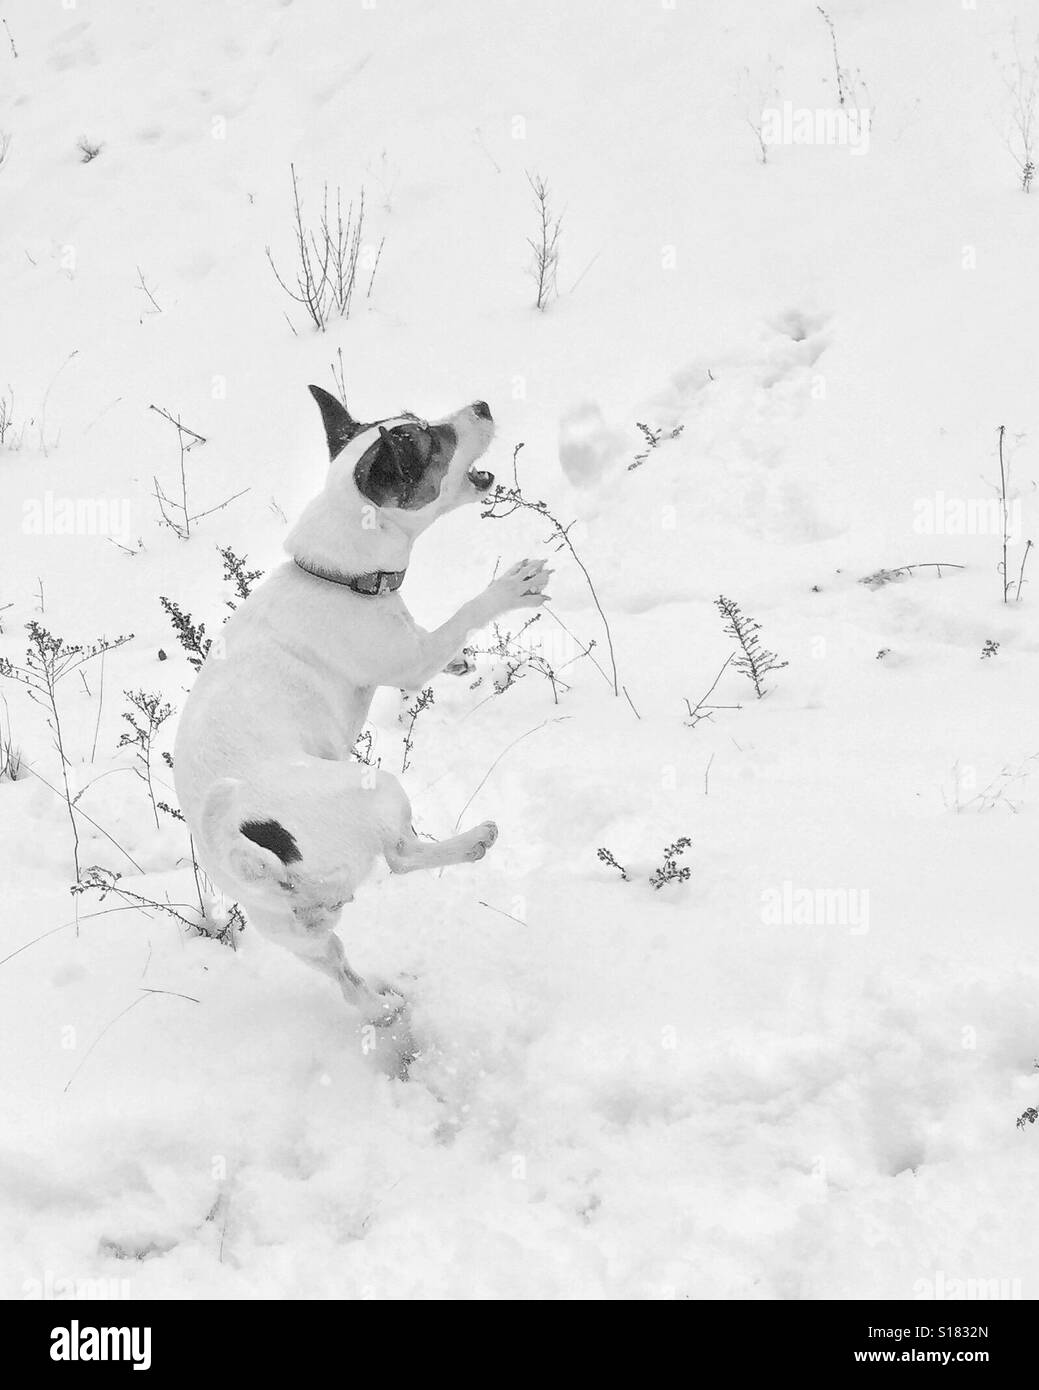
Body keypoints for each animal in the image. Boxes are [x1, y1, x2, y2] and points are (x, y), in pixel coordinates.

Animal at [174, 386, 553, 1028]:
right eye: (429, 442)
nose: (480, 405)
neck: (338, 576)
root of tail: (241, 843)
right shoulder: (408, 663)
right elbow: (458, 621)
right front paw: (508, 590)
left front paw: (460, 662)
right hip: (376, 791)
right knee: (401, 855)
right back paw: (471, 841)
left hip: (299, 937)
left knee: (348, 982)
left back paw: (382, 1007)